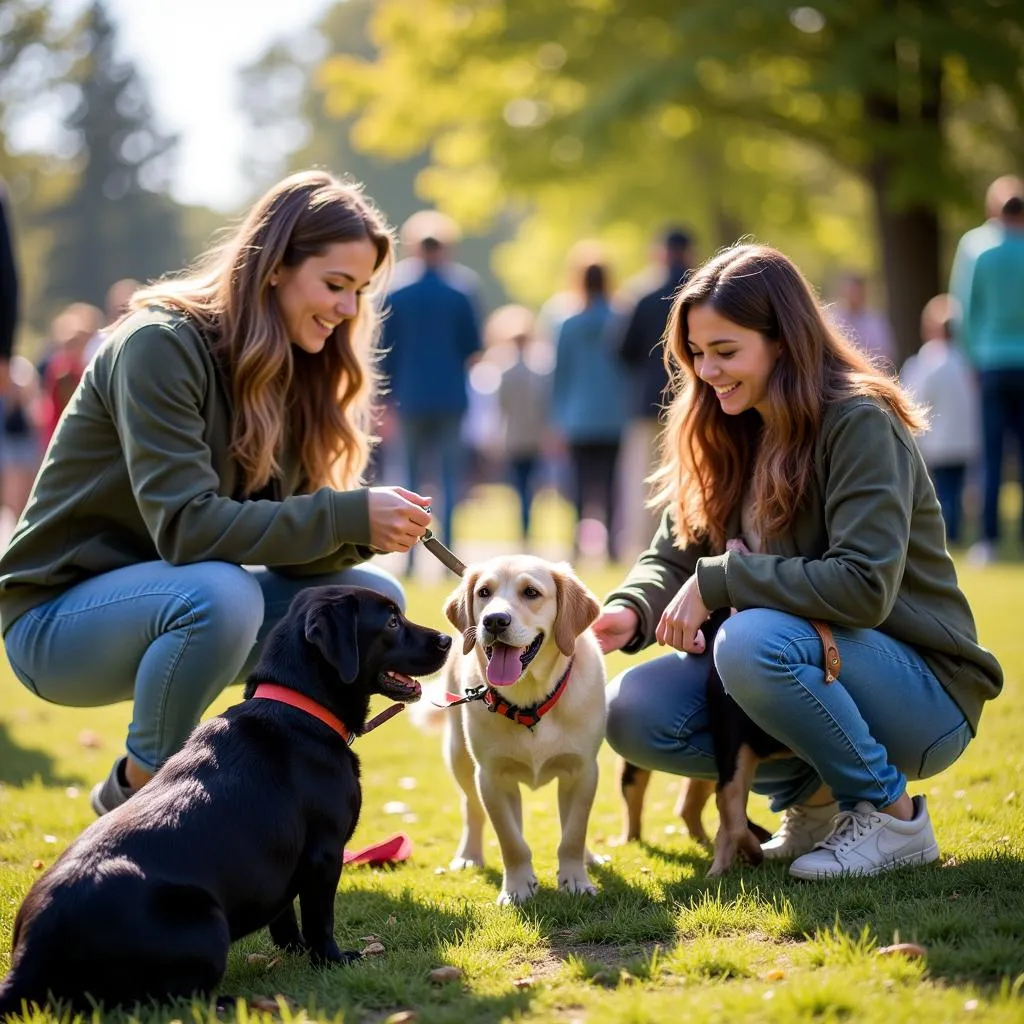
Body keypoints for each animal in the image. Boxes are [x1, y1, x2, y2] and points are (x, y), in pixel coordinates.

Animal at [0, 585, 452, 1015]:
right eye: (392, 621)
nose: (447, 638)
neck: (299, 707)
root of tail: (28, 959)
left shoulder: (282, 860)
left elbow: (285, 917)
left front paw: (295, 953)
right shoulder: (324, 853)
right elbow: (320, 919)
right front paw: (332, 961)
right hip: (206, 923)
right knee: (165, 999)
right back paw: (230, 1003)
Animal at [421, 557, 602, 901]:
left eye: (531, 592)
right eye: (484, 592)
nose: (494, 620)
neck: (529, 704)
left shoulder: (583, 771)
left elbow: (574, 832)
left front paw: (575, 879)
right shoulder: (492, 777)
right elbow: (511, 840)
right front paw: (517, 887)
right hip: (459, 756)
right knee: (472, 808)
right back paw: (469, 855)